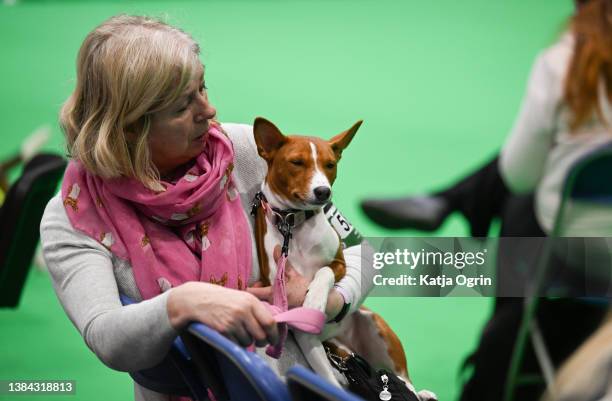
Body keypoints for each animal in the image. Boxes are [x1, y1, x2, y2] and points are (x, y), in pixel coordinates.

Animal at [252, 117, 436, 398]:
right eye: (297, 162)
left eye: (330, 164)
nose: (323, 192)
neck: (295, 226)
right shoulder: (302, 330)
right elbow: (327, 380)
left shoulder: (339, 262)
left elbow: (324, 271)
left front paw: (315, 299)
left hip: (376, 328)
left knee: (406, 382)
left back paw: (421, 393)